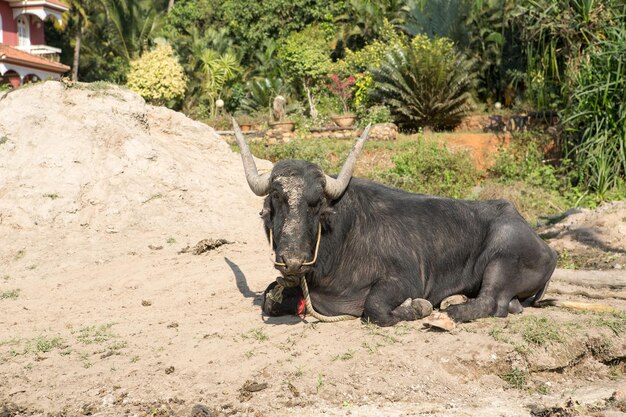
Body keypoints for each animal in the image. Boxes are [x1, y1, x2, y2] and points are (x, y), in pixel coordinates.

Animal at [232, 122, 552, 326]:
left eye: (317, 204)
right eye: (277, 197)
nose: (293, 261)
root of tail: (546, 247)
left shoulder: (403, 280)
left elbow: (374, 309)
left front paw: (419, 307)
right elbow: (269, 299)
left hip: (503, 253)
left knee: (492, 303)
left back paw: (448, 313)